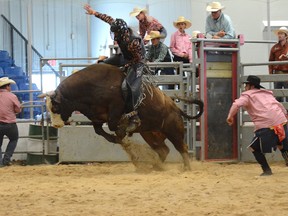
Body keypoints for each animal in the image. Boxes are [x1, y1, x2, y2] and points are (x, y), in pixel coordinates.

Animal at [39, 63, 204, 170]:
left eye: (55, 106)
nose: (56, 125)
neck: (90, 86)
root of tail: (176, 108)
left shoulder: (115, 108)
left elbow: (115, 126)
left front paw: (124, 130)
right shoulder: (97, 118)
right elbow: (101, 131)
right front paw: (120, 140)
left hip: (174, 130)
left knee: (182, 147)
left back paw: (186, 168)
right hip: (150, 133)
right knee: (163, 150)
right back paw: (155, 166)